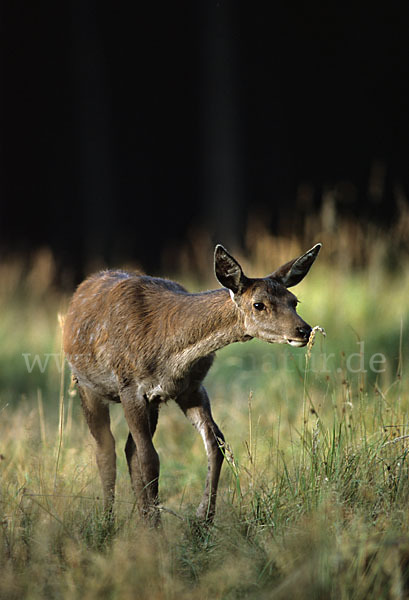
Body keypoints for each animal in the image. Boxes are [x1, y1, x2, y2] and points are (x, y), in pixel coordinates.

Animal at [63, 241, 318, 524]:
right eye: (258, 304)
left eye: (294, 301)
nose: (304, 330)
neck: (170, 354)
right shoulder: (130, 387)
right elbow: (149, 459)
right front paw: (157, 527)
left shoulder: (191, 388)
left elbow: (216, 445)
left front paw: (202, 520)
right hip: (86, 384)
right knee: (106, 448)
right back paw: (109, 520)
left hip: (153, 403)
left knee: (129, 449)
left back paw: (141, 515)